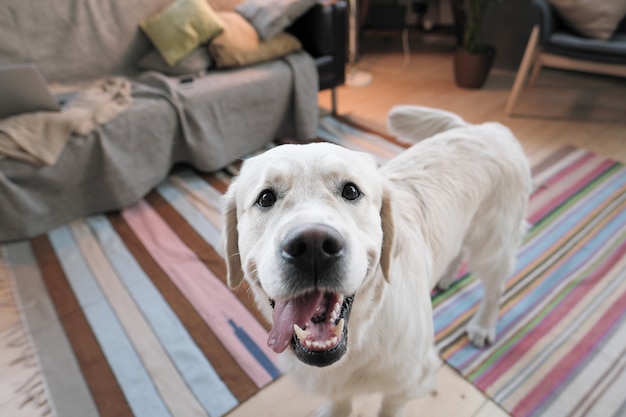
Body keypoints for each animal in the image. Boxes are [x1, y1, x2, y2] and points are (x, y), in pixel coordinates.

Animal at [222, 106, 528, 416]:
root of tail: (486, 128)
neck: (362, 331)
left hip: (493, 246)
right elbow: (341, 400)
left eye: (351, 191)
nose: (313, 247)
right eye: (265, 198)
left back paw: (483, 326)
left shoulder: (408, 381)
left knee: (494, 287)